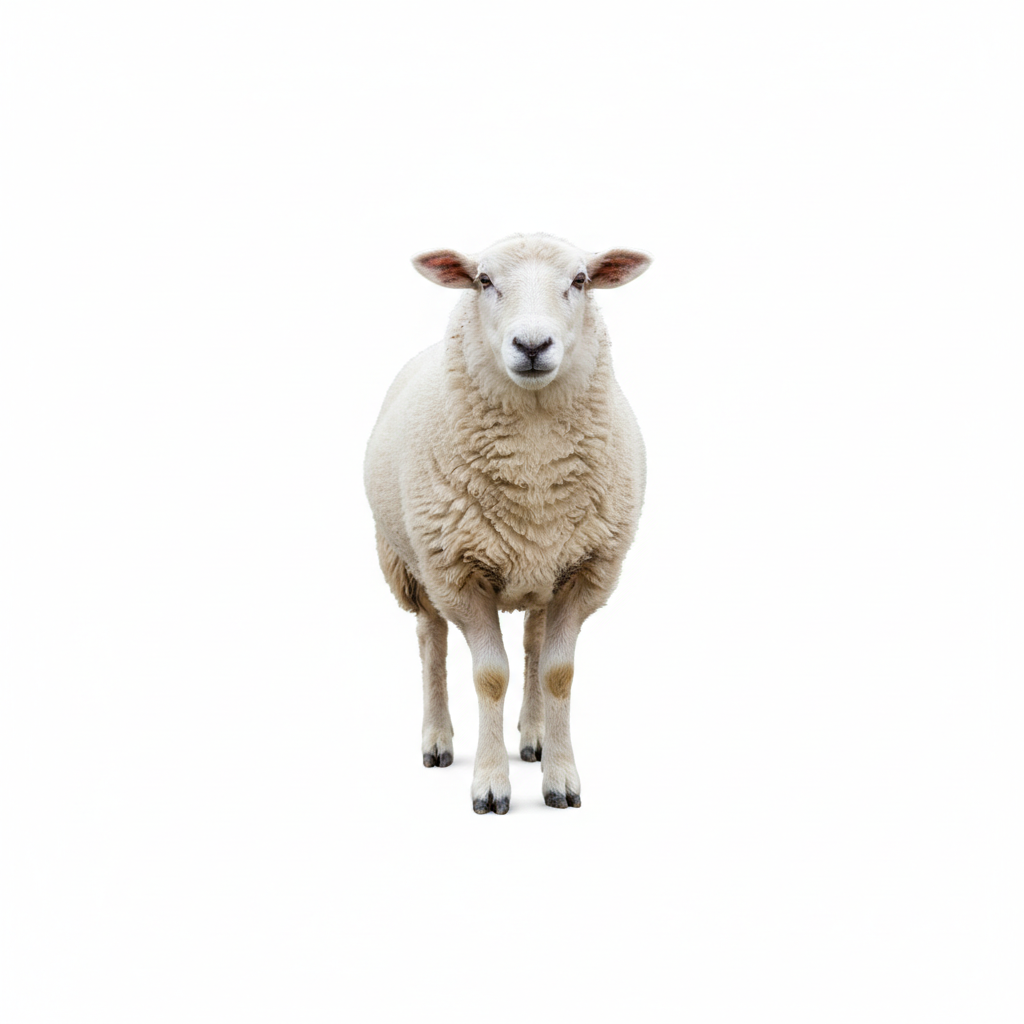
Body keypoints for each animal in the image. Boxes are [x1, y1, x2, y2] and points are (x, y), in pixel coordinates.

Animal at [364, 232, 651, 813]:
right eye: (484, 281)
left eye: (580, 280)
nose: (533, 345)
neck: (534, 471)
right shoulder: (458, 574)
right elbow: (490, 676)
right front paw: (491, 785)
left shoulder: (585, 572)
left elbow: (558, 673)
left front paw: (561, 779)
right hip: (409, 564)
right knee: (431, 641)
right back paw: (437, 740)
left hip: (542, 570)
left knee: (534, 646)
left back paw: (535, 736)